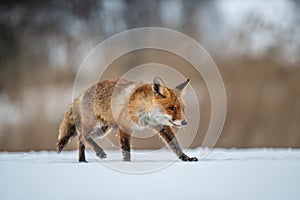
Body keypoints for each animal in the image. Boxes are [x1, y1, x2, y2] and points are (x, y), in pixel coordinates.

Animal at [57, 77, 198, 162]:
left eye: (182, 109)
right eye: (171, 108)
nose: (185, 122)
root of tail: (83, 93)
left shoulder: (161, 126)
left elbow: (175, 145)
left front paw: (186, 158)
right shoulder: (124, 126)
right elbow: (126, 149)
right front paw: (127, 163)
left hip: (102, 130)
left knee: (81, 138)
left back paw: (82, 160)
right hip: (96, 126)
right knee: (83, 136)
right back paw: (98, 152)